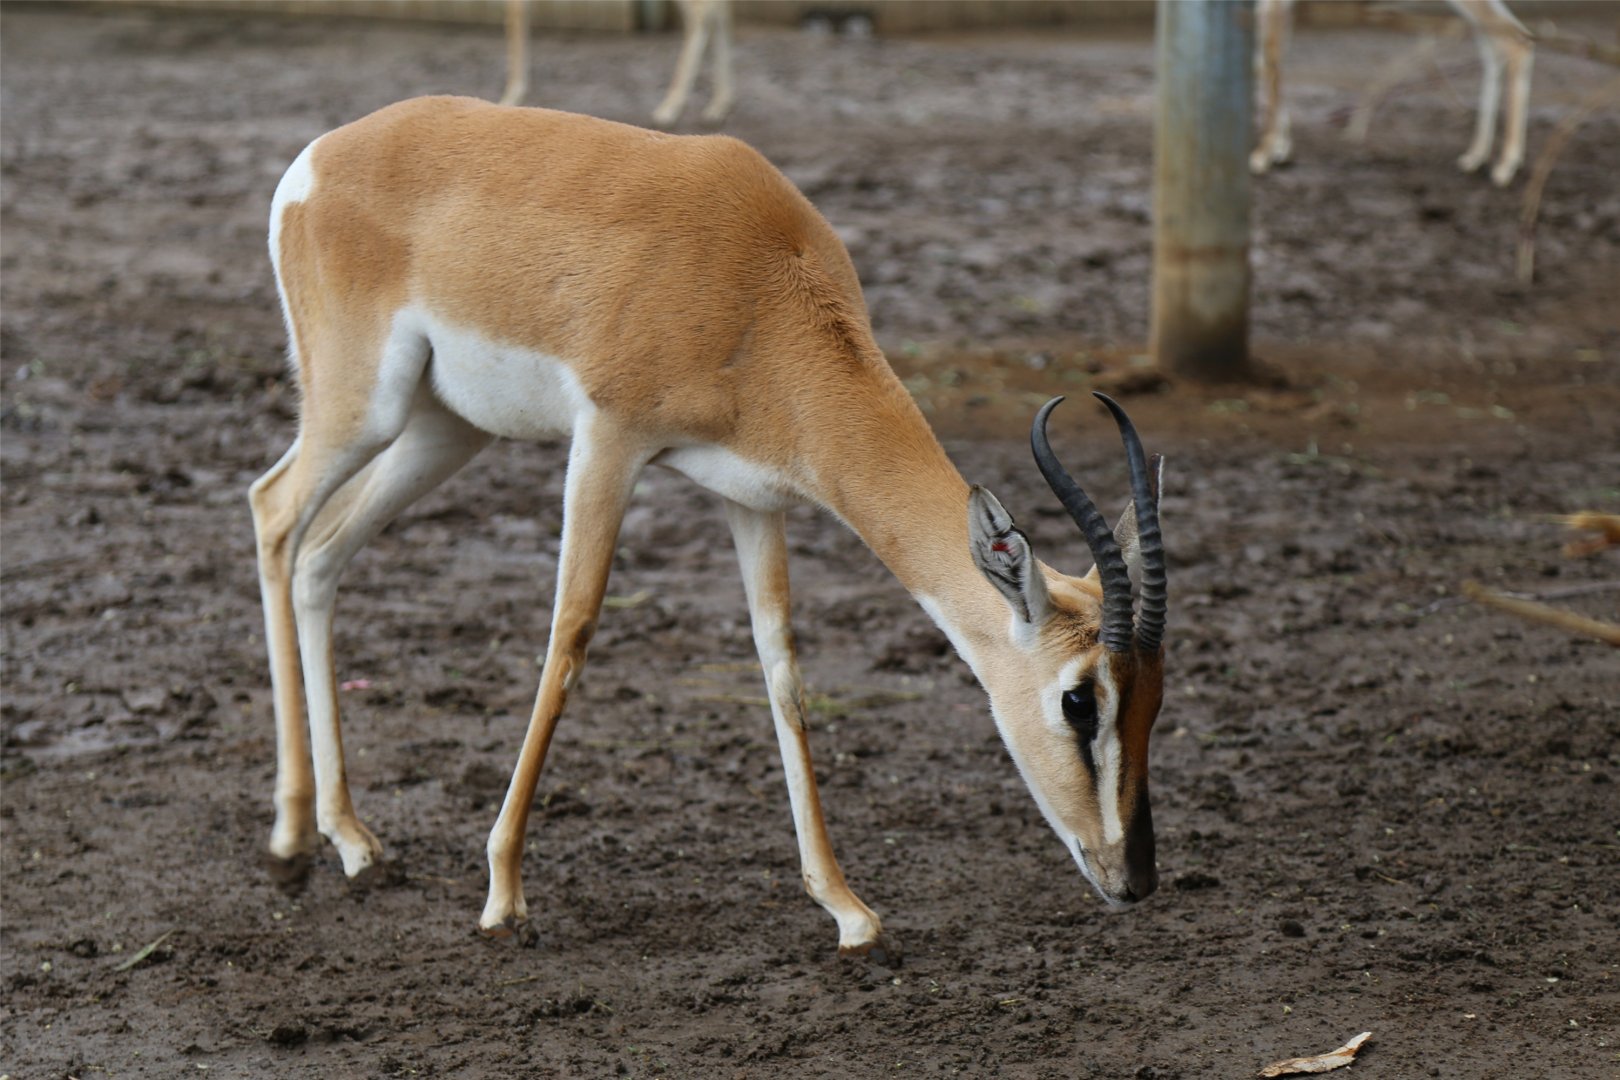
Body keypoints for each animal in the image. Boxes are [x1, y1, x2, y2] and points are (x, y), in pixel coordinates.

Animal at [250, 96, 1169, 955]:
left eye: (1155, 699)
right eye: (1079, 701)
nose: (1135, 879)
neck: (759, 283)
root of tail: (321, 155)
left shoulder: (752, 497)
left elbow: (783, 671)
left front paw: (847, 909)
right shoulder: (609, 441)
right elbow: (570, 637)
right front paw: (504, 894)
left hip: (445, 429)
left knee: (322, 552)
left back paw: (348, 838)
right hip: (362, 407)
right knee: (273, 510)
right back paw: (292, 835)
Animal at [1252, 0, 1534, 186]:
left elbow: (1269, 62)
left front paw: (1263, 154)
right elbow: (1270, 63)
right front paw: (1281, 148)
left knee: (1514, 41)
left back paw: (1506, 165)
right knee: (1497, 43)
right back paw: (1476, 157)